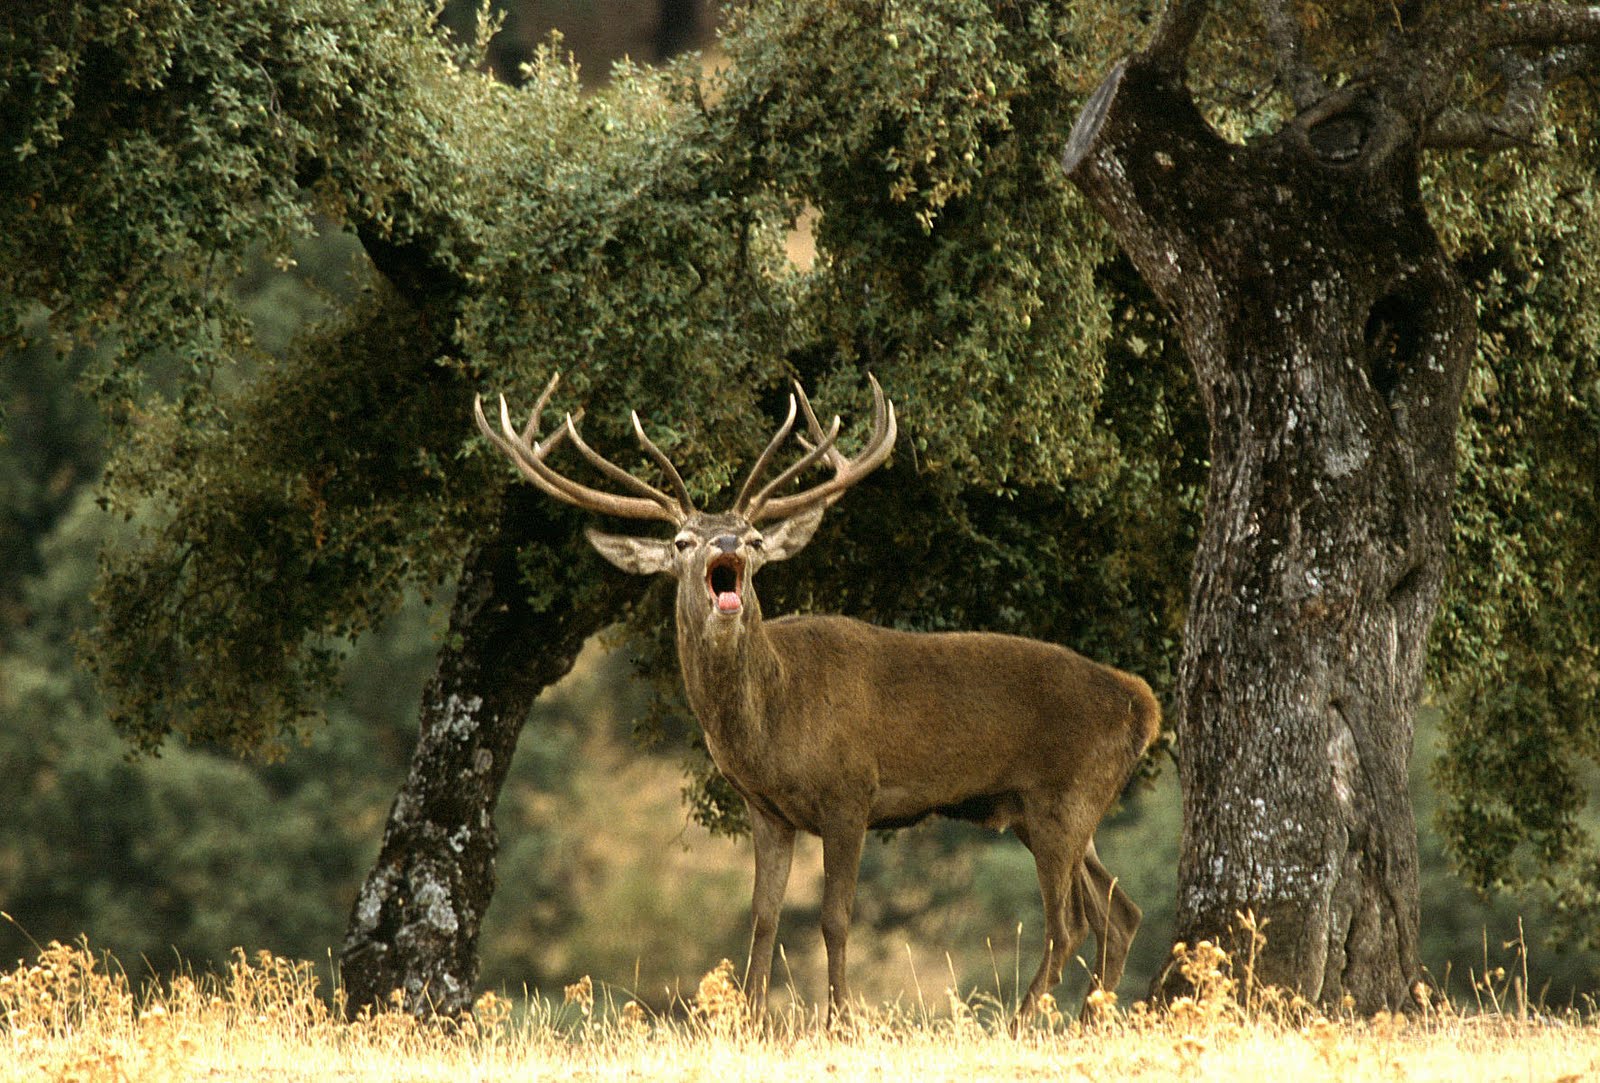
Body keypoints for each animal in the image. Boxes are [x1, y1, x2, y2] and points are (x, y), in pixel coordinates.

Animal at [472, 373, 1160, 1027]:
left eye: (752, 538)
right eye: (682, 542)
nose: (726, 547)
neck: (775, 720)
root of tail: (1143, 704)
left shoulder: (850, 789)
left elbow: (835, 916)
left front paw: (839, 1023)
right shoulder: (767, 808)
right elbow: (763, 917)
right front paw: (750, 1022)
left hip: (1062, 796)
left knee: (1070, 923)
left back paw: (1023, 1024)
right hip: (1050, 809)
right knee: (1119, 912)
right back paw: (1087, 1021)